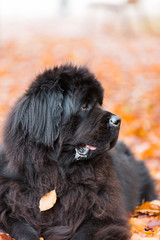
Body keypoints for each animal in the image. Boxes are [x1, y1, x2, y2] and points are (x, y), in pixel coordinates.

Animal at [0, 64, 156, 240]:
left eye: (100, 103)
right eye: (84, 106)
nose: (118, 120)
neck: (58, 172)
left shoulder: (105, 214)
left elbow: (84, 232)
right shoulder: (11, 205)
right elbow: (21, 227)